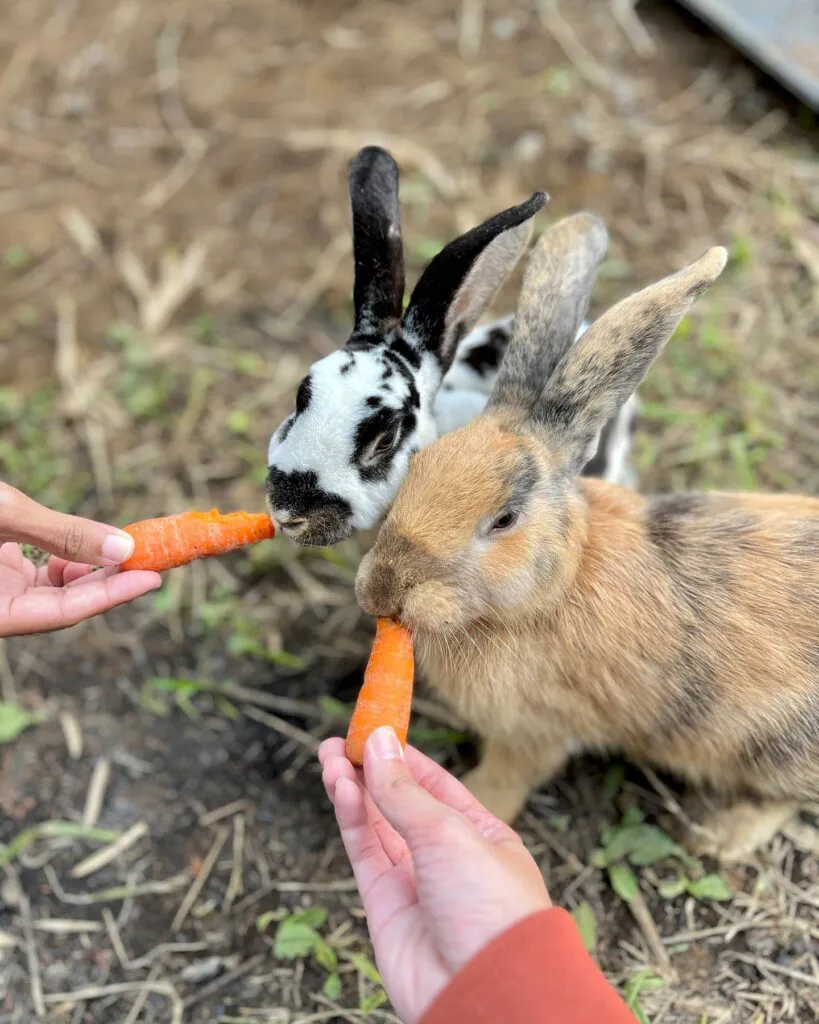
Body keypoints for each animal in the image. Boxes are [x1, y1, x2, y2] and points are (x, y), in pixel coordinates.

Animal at [354, 214, 818, 864]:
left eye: (504, 519)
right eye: (417, 465)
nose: (381, 589)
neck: (553, 590)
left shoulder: (537, 730)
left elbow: (509, 776)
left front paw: (477, 802)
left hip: (768, 749)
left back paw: (714, 836)